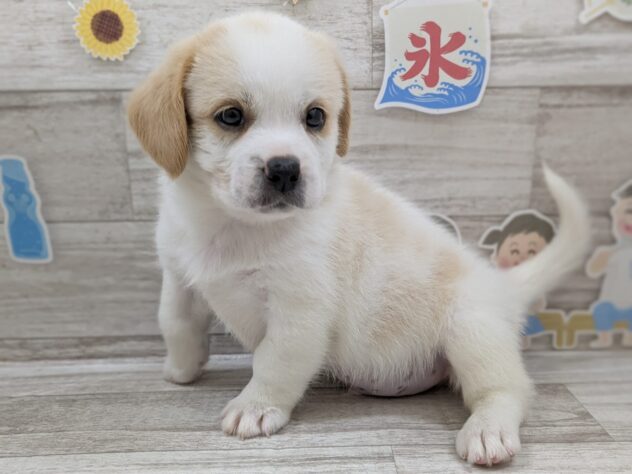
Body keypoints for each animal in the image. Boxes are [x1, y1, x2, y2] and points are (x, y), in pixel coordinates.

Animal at [128, 12, 590, 466]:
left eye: (315, 117)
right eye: (230, 116)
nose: (285, 169)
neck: (232, 224)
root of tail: (502, 283)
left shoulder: (299, 312)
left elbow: (273, 362)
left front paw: (256, 407)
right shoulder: (179, 279)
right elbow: (175, 324)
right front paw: (182, 369)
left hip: (472, 331)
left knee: (507, 390)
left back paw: (488, 431)